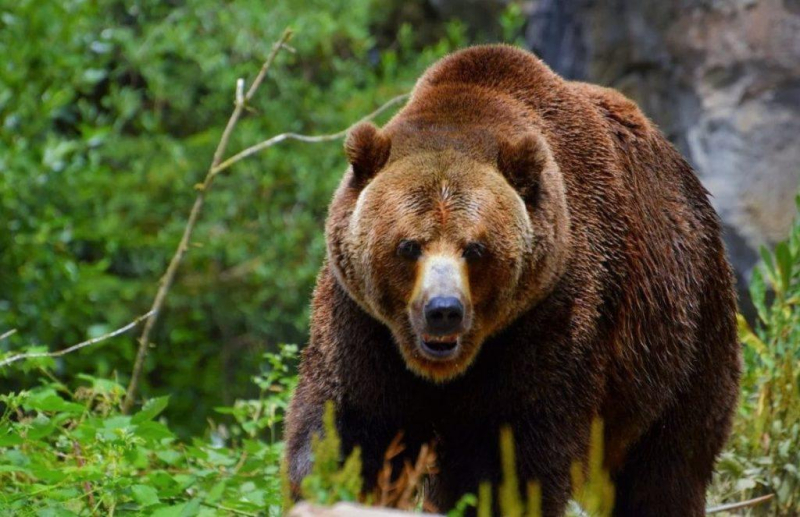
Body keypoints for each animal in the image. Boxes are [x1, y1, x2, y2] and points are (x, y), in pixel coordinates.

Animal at [284, 45, 740, 516]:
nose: (443, 311)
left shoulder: (546, 318)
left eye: (475, 248)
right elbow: (352, 428)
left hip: (680, 334)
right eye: (409, 245)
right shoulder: (363, 325)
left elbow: (508, 458)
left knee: (667, 464)